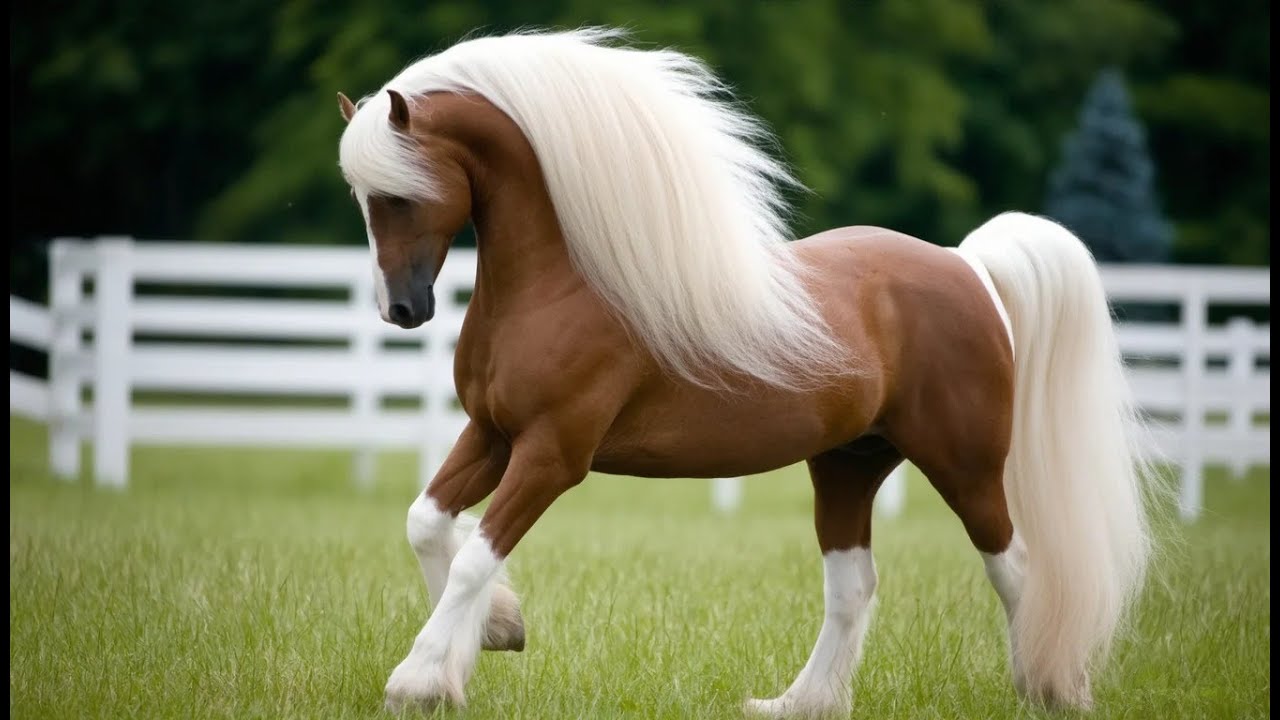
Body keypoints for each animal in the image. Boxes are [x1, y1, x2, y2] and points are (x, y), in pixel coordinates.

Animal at [336, 28, 1154, 718]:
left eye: (400, 192)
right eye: (362, 198)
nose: (402, 309)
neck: (565, 282)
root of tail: (968, 266)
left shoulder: (551, 455)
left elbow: (474, 555)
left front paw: (419, 678)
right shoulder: (493, 434)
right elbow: (427, 523)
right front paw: (492, 635)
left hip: (965, 464)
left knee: (1014, 566)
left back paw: (1050, 688)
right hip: (849, 464)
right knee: (853, 585)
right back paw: (800, 704)